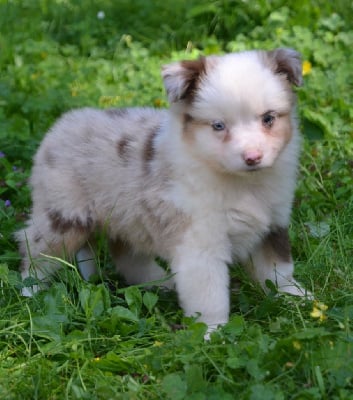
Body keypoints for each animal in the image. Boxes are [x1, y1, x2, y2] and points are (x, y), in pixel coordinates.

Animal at [17, 48, 308, 332]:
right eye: (218, 125)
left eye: (268, 118)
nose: (252, 157)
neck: (240, 181)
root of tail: (60, 126)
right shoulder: (200, 242)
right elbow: (209, 294)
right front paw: (213, 332)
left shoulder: (272, 224)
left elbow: (278, 269)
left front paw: (298, 298)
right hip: (63, 216)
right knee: (34, 246)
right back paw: (31, 291)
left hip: (128, 217)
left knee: (128, 257)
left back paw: (163, 283)